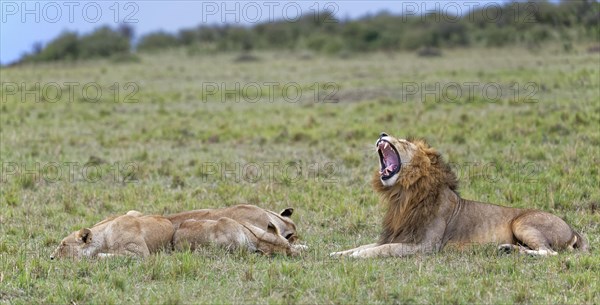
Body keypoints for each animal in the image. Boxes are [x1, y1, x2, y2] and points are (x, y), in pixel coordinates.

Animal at [328, 133, 584, 256]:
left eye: (403, 142)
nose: (383, 133)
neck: (404, 195)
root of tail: (573, 230)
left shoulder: (425, 246)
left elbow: (381, 250)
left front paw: (355, 257)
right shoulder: (397, 235)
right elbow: (365, 244)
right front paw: (338, 253)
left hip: (523, 223)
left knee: (550, 252)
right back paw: (509, 249)